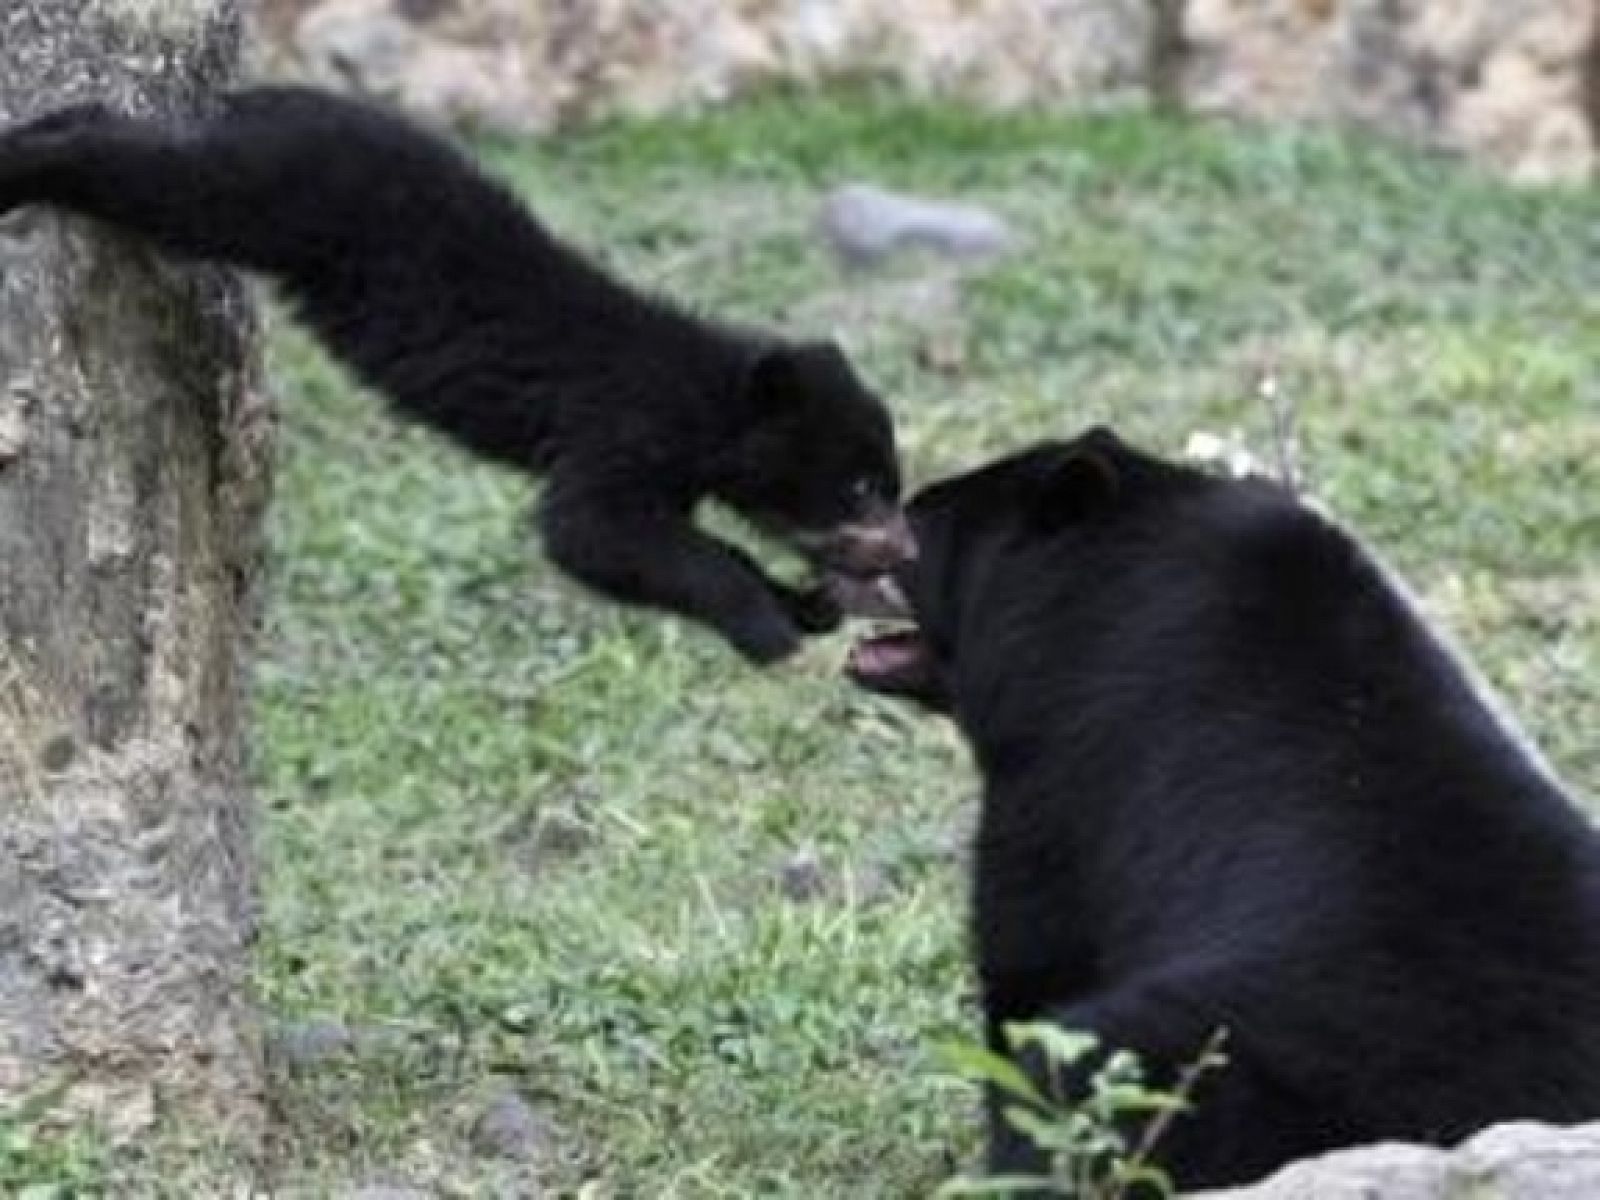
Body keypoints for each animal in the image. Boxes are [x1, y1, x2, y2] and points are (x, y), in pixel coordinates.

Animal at [0, 88, 908, 662]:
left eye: (886, 486)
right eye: (862, 487)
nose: (904, 544)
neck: (714, 400)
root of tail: (267, 96)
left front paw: (805, 604)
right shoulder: (624, 428)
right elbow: (593, 533)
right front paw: (766, 623)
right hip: (274, 192)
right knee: (159, 177)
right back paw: (22, 162)